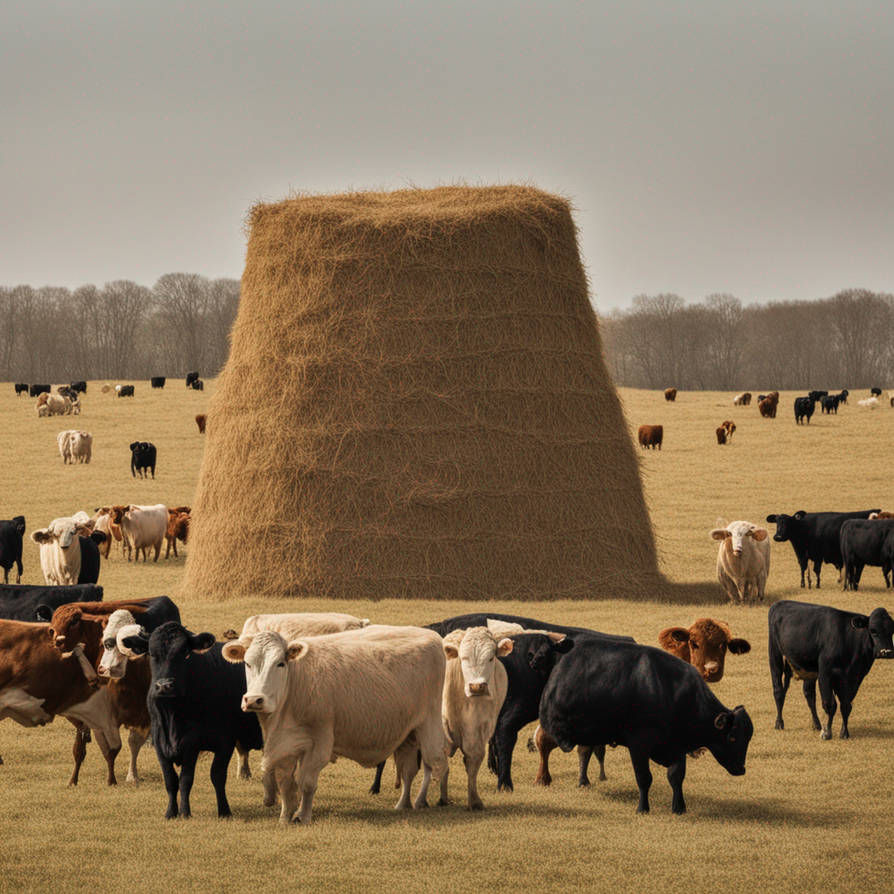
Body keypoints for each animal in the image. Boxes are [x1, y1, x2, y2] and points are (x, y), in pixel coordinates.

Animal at [118, 622, 263, 818]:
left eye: (185, 652)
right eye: (152, 654)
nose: (164, 686)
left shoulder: (216, 742)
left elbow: (204, 777)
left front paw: (210, 811)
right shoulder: (160, 743)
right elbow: (171, 780)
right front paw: (171, 812)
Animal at [222, 625, 449, 823]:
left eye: (280, 663)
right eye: (247, 663)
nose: (254, 700)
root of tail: (432, 636)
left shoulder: (319, 743)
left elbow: (306, 783)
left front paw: (303, 816)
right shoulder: (286, 744)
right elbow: (286, 783)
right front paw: (285, 817)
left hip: (430, 726)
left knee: (437, 763)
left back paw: (434, 800)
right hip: (408, 734)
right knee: (409, 770)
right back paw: (403, 804)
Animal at [538, 638, 753, 814]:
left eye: (747, 738)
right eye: (732, 737)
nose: (741, 769)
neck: (672, 693)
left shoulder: (677, 745)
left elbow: (676, 777)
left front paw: (679, 808)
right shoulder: (639, 744)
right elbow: (644, 777)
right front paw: (643, 808)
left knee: (584, 751)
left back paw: (583, 781)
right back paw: (549, 779)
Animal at [768, 600, 894, 739]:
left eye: (892, 631)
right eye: (873, 630)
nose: (886, 652)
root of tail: (779, 603)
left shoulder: (855, 677)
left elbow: (846, 705)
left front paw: (844, 732)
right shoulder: (825, 673)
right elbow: (830, 704)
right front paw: (827, 732)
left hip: (808, 669)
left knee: (809, 694)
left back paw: (816, 724)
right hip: (775, 654)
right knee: (778, 691)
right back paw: (779, 723)